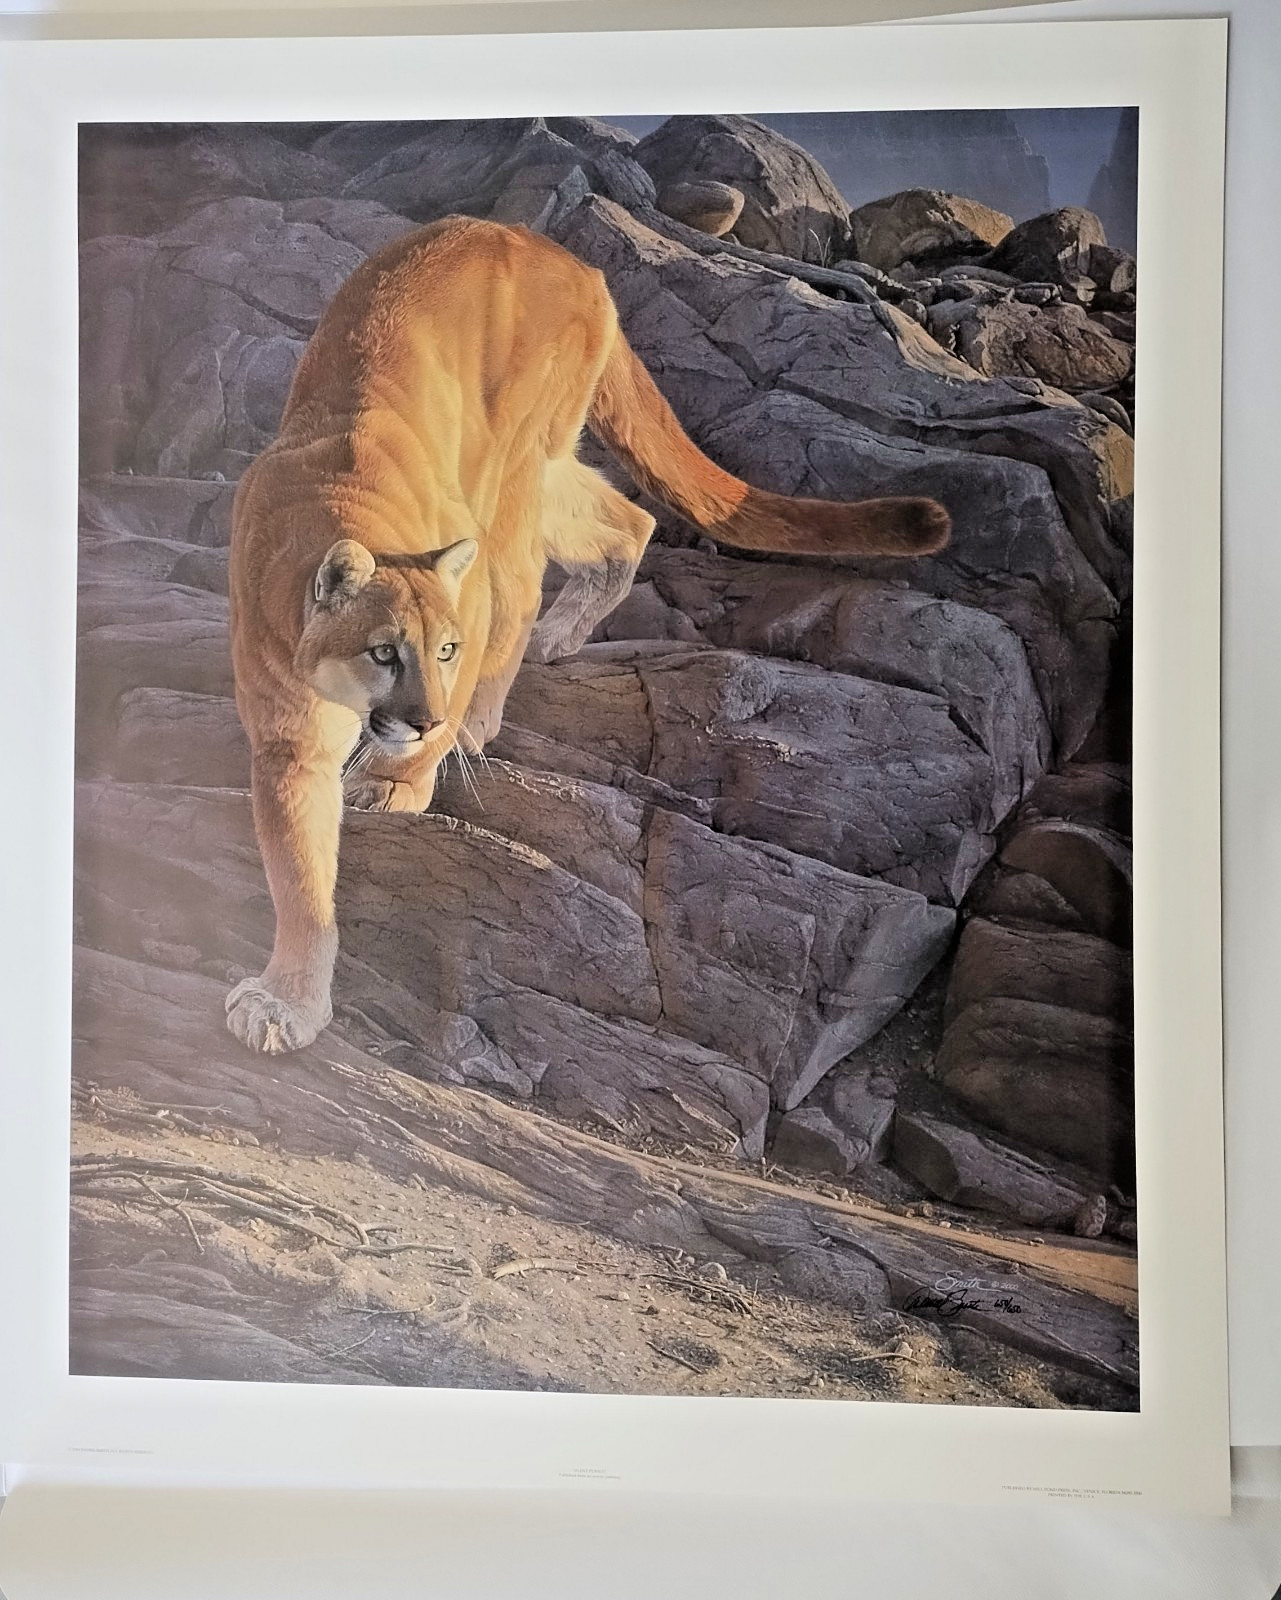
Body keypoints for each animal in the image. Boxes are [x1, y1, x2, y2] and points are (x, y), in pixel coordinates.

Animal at [225, 214, 950, 1055]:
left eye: (443, 652)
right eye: (382, 651)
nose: (424, 718)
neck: (341, 500)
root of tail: (554, 250)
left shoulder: (459, 607)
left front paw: (398, 782)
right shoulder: (290, 732)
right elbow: (300, 874)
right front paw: (287, 1002)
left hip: (511, 469)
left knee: (524, 583)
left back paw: (492, 702)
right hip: (538, 468)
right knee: (626, 518)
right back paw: (560, 637)